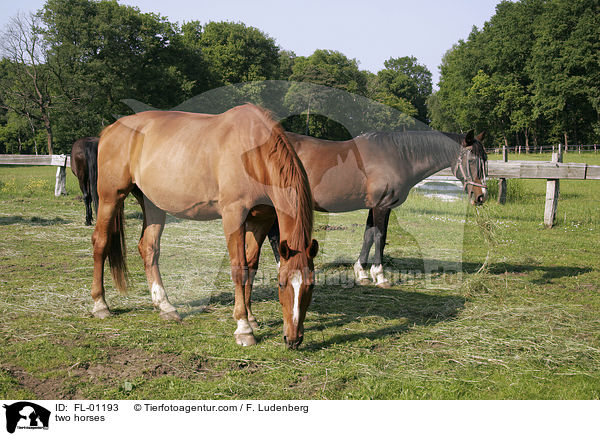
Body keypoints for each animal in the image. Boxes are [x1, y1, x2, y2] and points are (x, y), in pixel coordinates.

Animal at [91, 104, 316, 350]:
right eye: (281, 284)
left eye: (311, 286)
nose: (293, 339)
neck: (254, 152)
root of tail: (110, 129)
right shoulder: (233, 215)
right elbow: (239, 267)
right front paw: (243, 327)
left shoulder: (261, 221)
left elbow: (251, 265)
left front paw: (251, 317)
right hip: (111, 197)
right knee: (101, 243)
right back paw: (100, 304)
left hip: (152, 204)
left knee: (149, 248)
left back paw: (164, 306)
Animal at [268, 127, 488, 288]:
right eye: (471, 160)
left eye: (485, 160)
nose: (481, 196)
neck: (398, 157)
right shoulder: (382, 206)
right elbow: (380, 237)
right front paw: (380, 276)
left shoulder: (373, 207)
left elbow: (368, 235)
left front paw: (362, 273)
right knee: (273, 236)